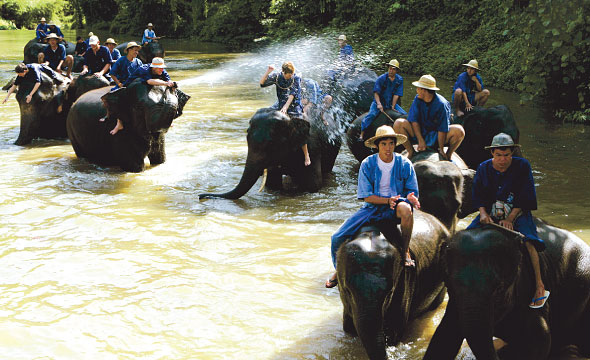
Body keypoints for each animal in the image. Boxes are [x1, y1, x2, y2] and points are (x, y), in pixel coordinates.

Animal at [199, 107, 342, 200]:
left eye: (271, 144)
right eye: (247, 136)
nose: (200, 196)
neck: (290, 118)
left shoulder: (312, 148)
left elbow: (313, 185)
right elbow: (272, 184)